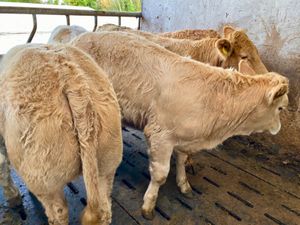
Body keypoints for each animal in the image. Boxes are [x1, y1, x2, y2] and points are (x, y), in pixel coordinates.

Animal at [0, 44, 123, 225]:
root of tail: (73, 79)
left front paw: (13, 198)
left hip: (44, 176)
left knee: (58, 212)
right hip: (107, 162)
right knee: (104, 207)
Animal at [72, 31, 288, 220]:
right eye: (281, 108)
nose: (278, 129)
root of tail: (80, 37)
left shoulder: (184, 137)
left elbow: (182, 161)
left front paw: (184, 184)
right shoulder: (160, 135)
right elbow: (160, 175)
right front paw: (149, 205)